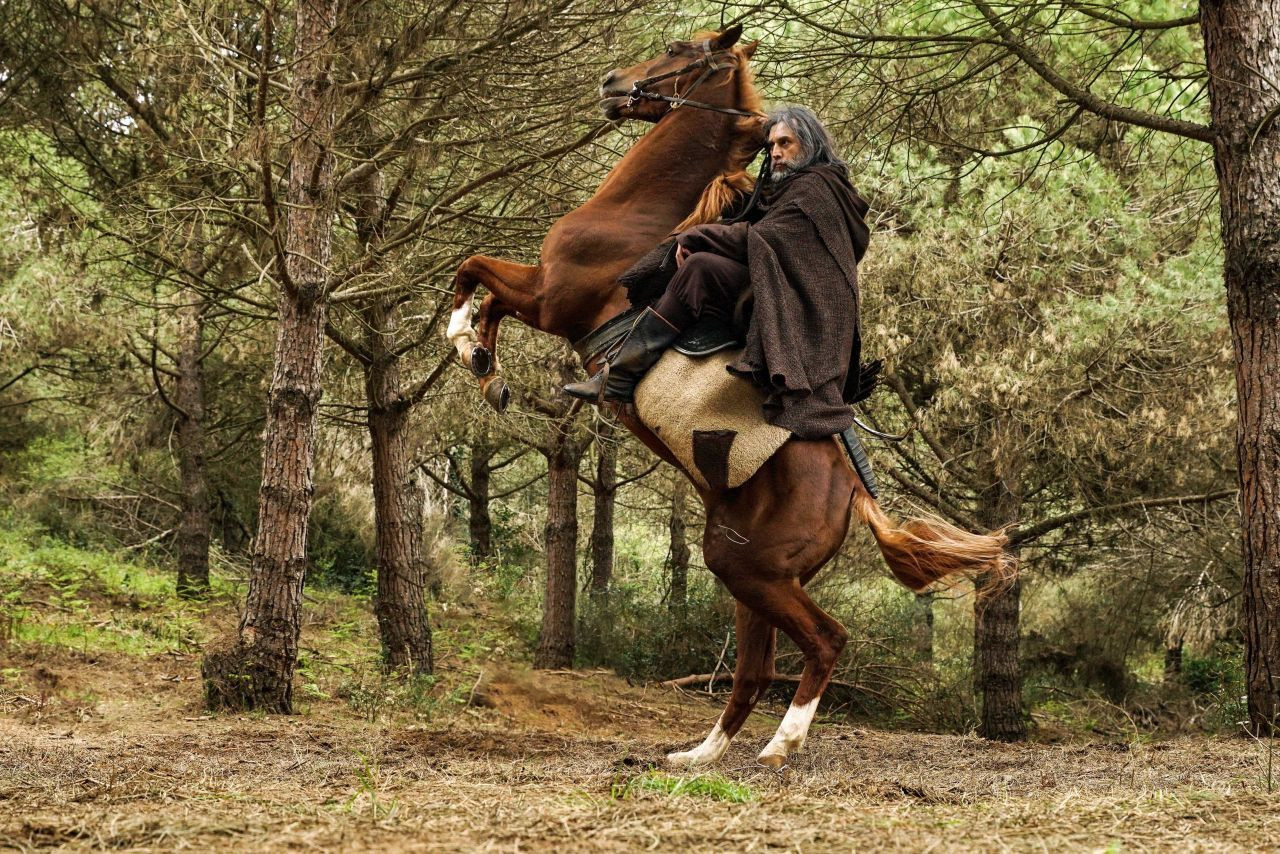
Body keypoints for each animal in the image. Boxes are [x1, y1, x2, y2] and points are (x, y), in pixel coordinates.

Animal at [450, 25, 1008, 768]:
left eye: (677, 49)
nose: (610, 83)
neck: (637, 216)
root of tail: (853, 494)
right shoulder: (540, 295)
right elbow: (482, 289)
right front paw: (486, 365)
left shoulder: (548, 295)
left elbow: (473, 271)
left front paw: (470, 348)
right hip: (750, 574)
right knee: (753, 669)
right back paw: (699, 757)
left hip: (754, 575)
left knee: (824, 641)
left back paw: (782, 743)